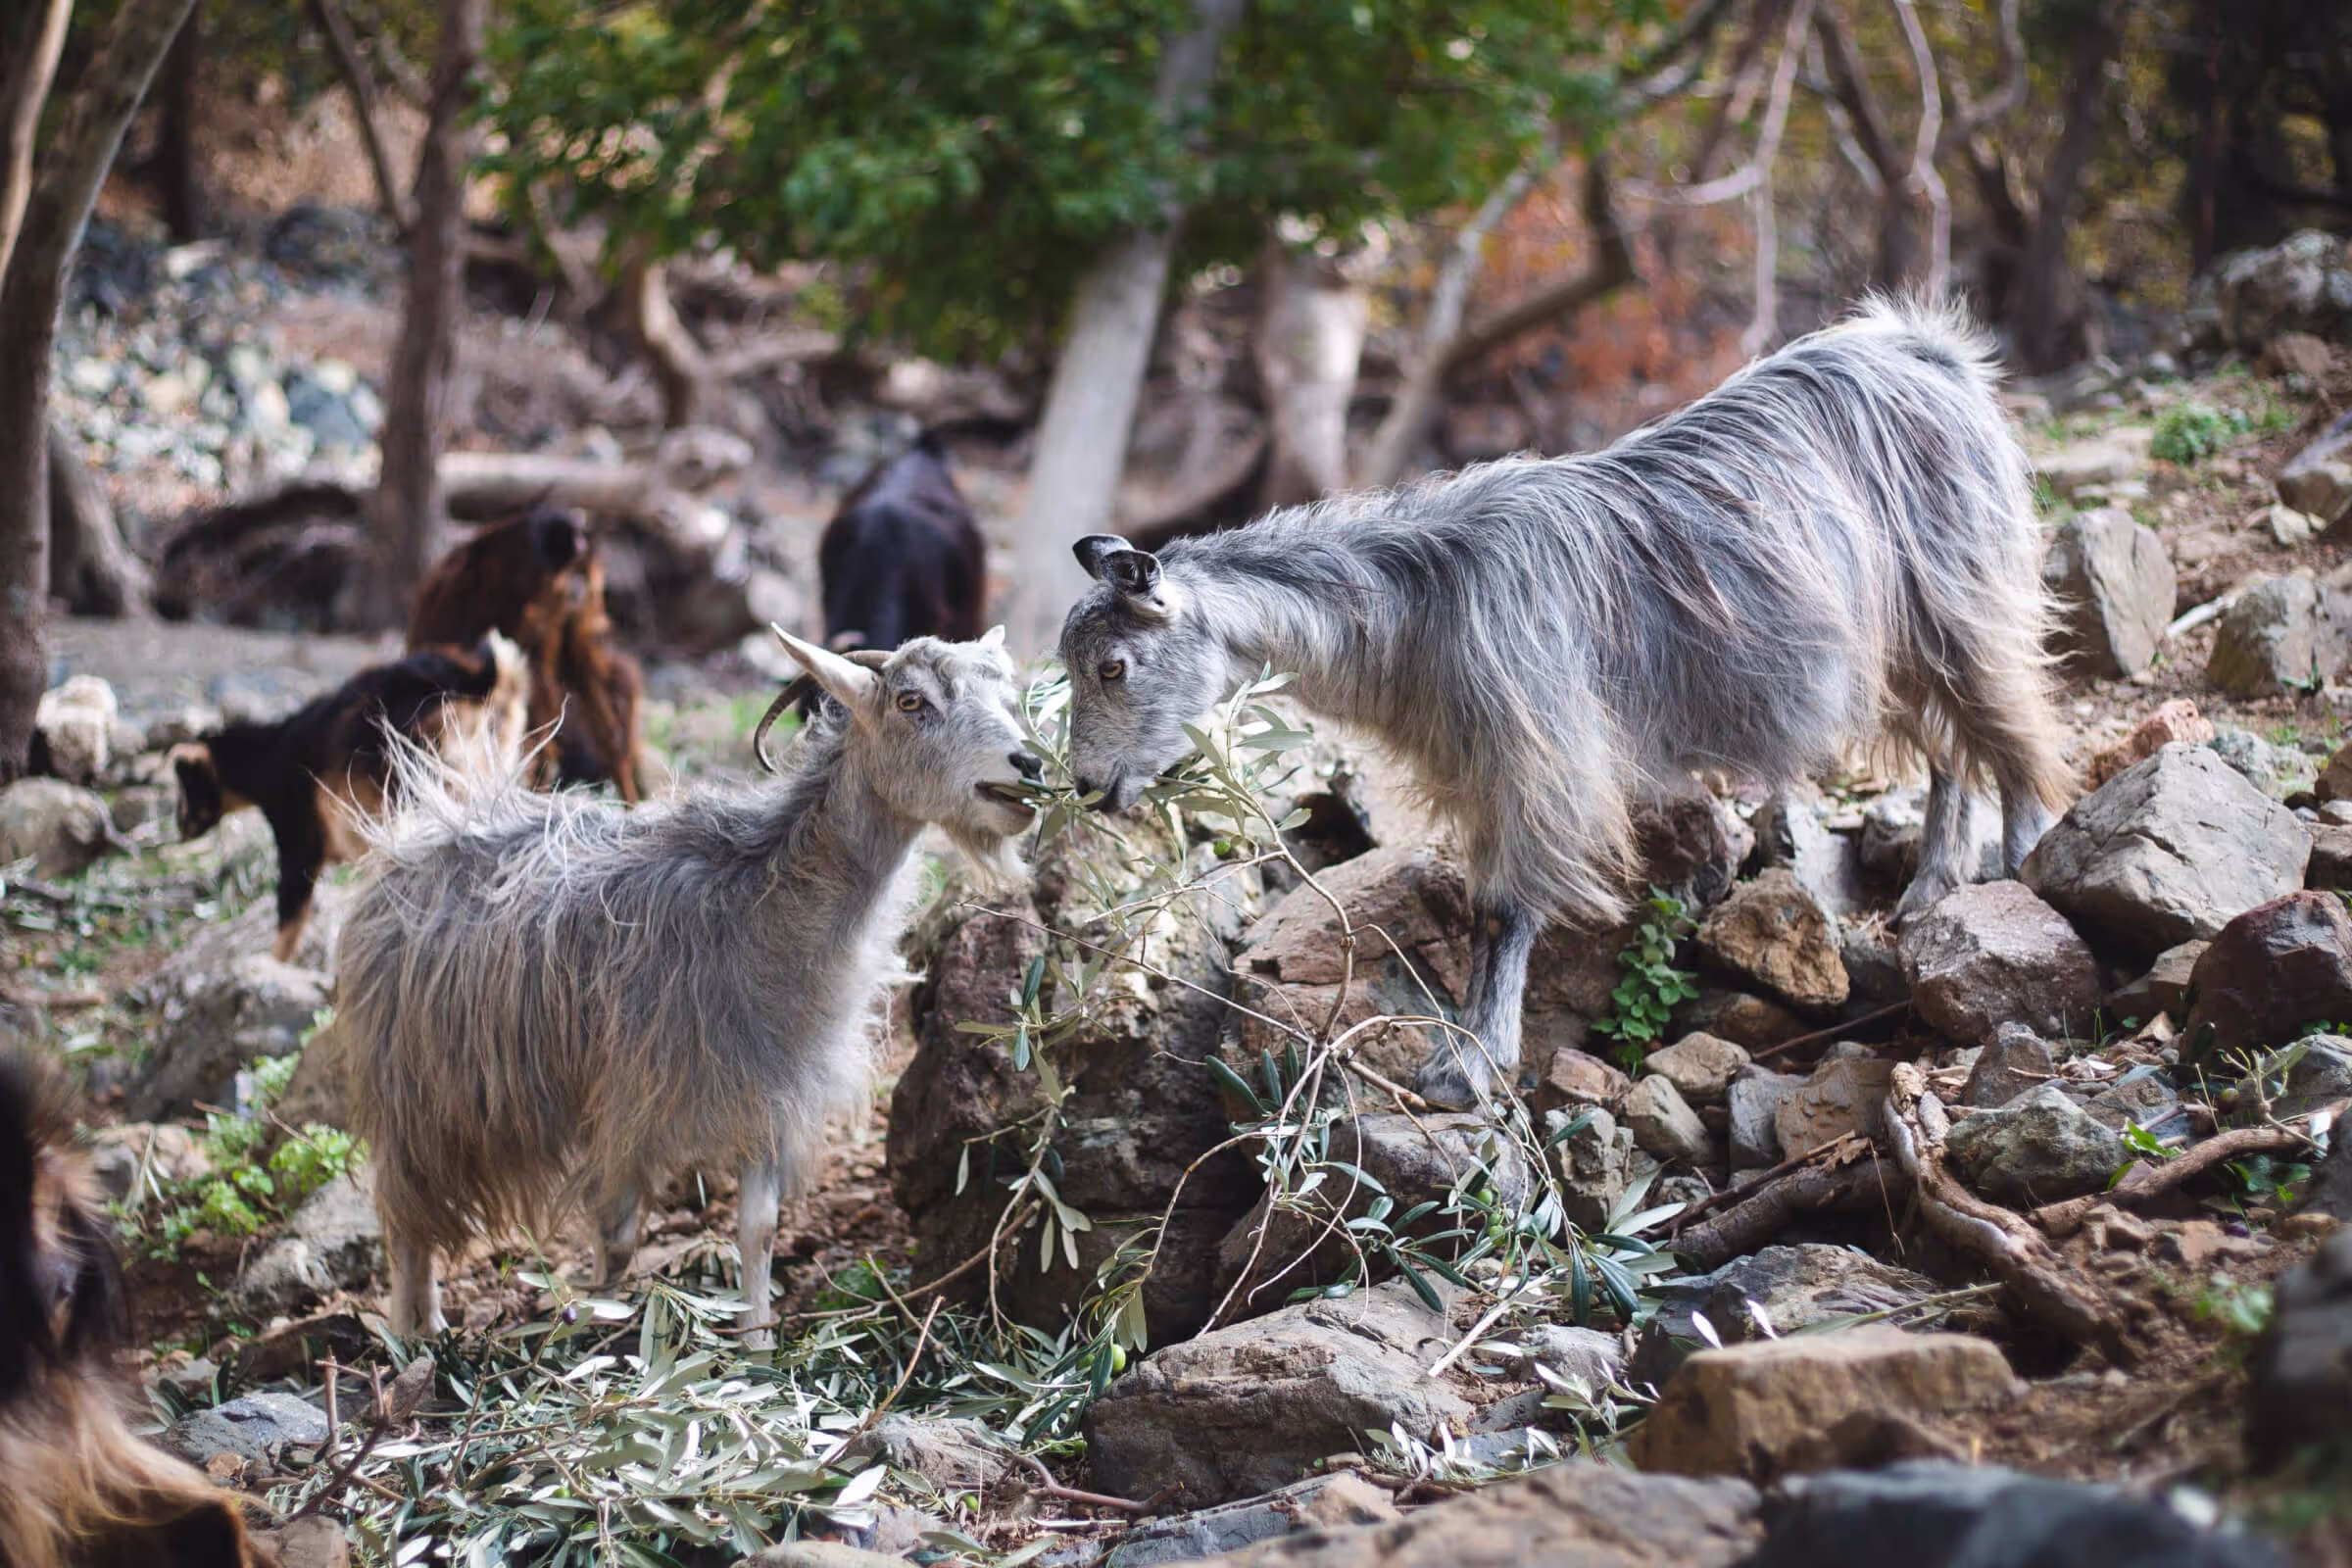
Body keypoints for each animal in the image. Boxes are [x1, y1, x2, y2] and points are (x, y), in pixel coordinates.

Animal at [171, 635, 527, 962]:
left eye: (186, 786)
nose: (180, 829)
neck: (270, 756)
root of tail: (480, 678)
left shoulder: (299, 838)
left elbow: (290, 913)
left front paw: (275, 966)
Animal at [337, 629, 1040, 1336]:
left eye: (1004, 692)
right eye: (910, 700)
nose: (1029, 765)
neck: (757, 902)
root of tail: (426, 829)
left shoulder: (767, 1090)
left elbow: (758, 1228)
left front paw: (756, 1340)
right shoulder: (628, 1100)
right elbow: (617, 1236)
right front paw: (601, 1336)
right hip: (418, 1091)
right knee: (404, 1217)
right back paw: (410, 1336)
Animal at [1056, 297, 2070, 1109]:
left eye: (1111, 666)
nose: (1086, 786)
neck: (1422, 599)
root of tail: (1929, 352)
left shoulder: (1536, 754)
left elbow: (1506, 910)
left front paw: (1466, 1068)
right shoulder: (1478, 768)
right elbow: (1482, 908)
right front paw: (1468, 1052)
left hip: (1962, 590)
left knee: (2012, 723)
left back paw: (2021, 866)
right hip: (1896, 640)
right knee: (1950, 744)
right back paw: (1930, 889)